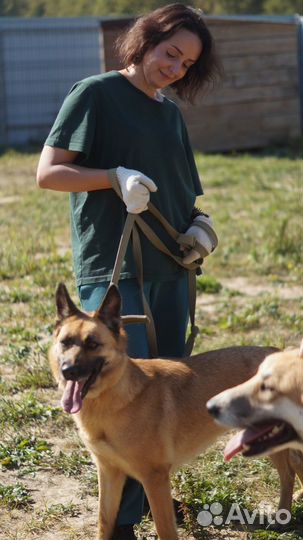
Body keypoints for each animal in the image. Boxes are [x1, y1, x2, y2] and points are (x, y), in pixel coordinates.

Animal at [49, 284, 302, 536]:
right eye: (66, 342)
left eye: (92, 344)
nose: (68, 371)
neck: (113, 397)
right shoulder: (109, 473)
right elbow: (104, 521)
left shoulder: (155, 478)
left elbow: (164, 529)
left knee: (288, 473)